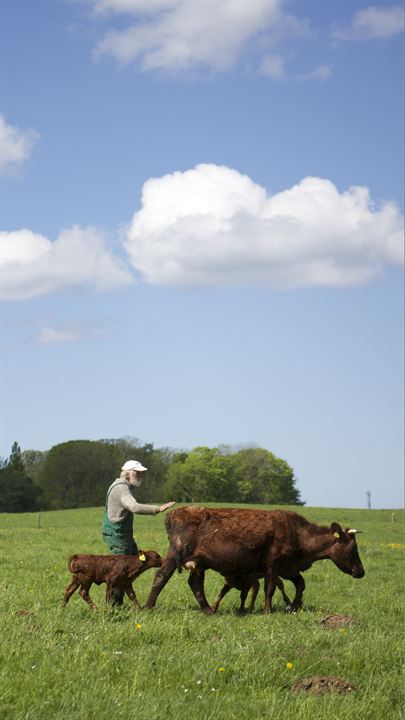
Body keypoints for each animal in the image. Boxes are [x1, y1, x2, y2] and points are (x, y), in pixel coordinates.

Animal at [144, 506, 362, 612]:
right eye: (353, 548)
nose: (361, 571)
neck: (298, 533)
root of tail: (174, 513)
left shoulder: (288, 567)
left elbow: (300, 583)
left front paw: (295, 605)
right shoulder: (273, 564)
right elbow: (270, 587)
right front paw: (267, 610)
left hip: (198, 562)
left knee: (194, 583)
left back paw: (208, 609)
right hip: (176, 552)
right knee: (161, 576)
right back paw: (148, 607)